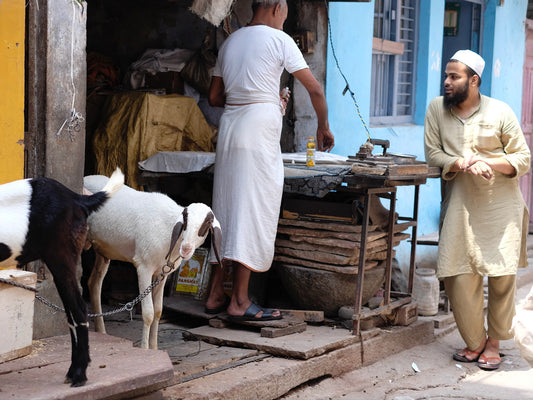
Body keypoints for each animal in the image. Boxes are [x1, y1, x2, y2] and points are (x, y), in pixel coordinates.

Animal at [0, 168, 122, 384]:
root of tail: (77, 199)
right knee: (71, 312)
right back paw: (74, 371)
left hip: (61, 256)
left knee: (79, 309)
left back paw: (79, 374)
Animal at [81, 177, 222, 348]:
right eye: (185, 219)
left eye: (207, 223)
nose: (186, 248)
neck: (168, 229)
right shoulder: (144, 268)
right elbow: (148, 313)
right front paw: (145, 348)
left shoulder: (162, 273)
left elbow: (158, 311)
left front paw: (154, 348)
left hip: (104, 252)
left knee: (94, 283)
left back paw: (101, 331)